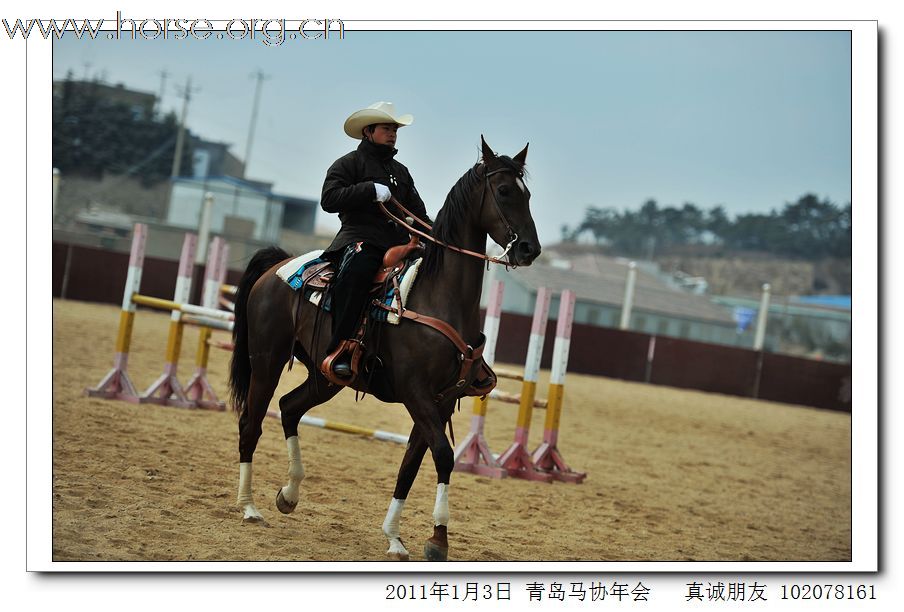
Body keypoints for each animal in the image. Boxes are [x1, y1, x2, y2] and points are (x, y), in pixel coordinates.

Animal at [228, 136, 536, 560]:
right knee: (251, 423)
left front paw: (397, 536)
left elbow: (412, 464)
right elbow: (444, 455)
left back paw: (288, 495)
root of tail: (279, 265)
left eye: (528, 194)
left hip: (326, 377)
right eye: (504, 191)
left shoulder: (440, 400)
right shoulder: (415, 393)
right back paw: (249, 508)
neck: (438, 296)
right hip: (267, 361)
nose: (530, 249)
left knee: (289, 408)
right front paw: (436, 540)